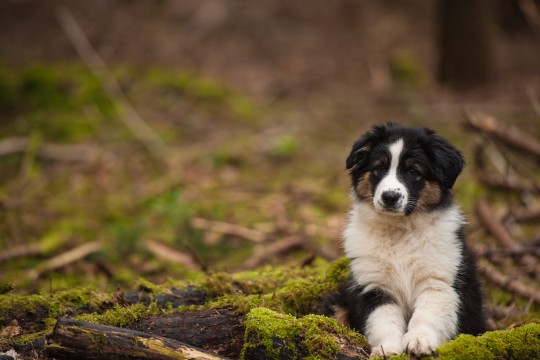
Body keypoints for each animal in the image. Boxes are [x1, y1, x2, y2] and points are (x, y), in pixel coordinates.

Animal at [326, 123, 488, 358]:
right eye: (378, 168)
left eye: (413, 172)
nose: (390, 197)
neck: (400, 230)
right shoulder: (375, 286)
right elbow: (383, 320)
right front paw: (387, 349)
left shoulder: (438, 282)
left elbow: (428, 313)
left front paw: (419, 341)